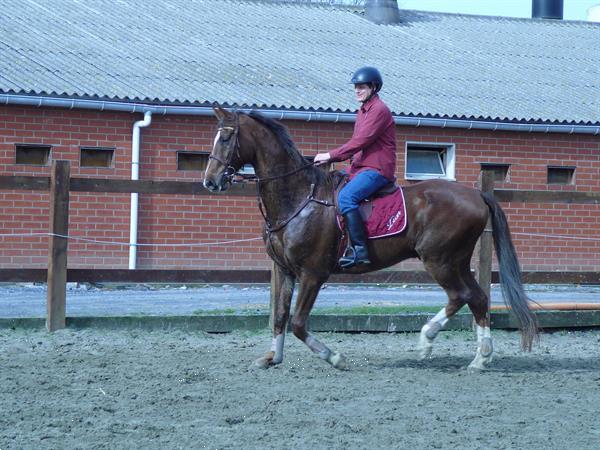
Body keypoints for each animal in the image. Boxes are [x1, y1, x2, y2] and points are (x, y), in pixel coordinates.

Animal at [204, 105, 536, 370]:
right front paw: (273, 358)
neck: (299, 198)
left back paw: (427, 340)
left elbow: (298, 323)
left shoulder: (312, 273)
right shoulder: (285, 270)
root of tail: (476, 194)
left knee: (461, 296)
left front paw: (335, 357)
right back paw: (480, 358)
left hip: (439, 260)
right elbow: (280, 316)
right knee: (477, 299)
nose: (210, 181)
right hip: (456, 260)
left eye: (227, 137)